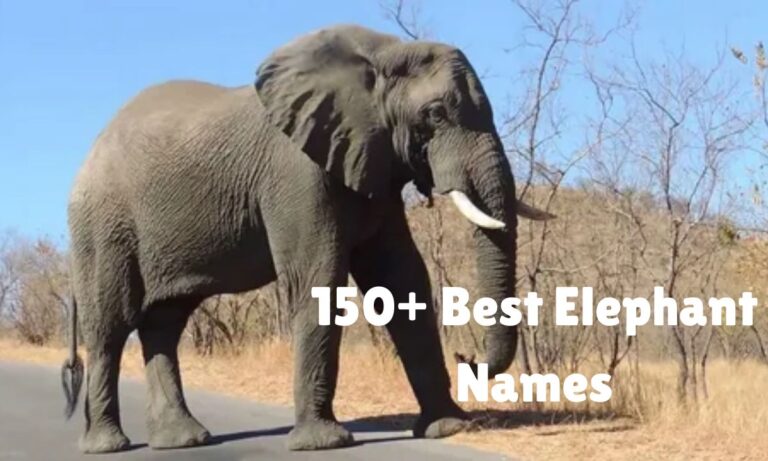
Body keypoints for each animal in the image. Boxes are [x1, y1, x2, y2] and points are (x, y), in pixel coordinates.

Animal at [60, 24, 552, 454]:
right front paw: (324, 443)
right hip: (103, 226)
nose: (467, 357)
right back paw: (108, 446)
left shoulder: (372, 166)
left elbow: (403, 278)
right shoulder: (296, 172)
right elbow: (320, 279)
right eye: (435, 115)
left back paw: (184, 440)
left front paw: (446, 428)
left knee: (164, 324)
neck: (379, 54)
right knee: (110, 325)